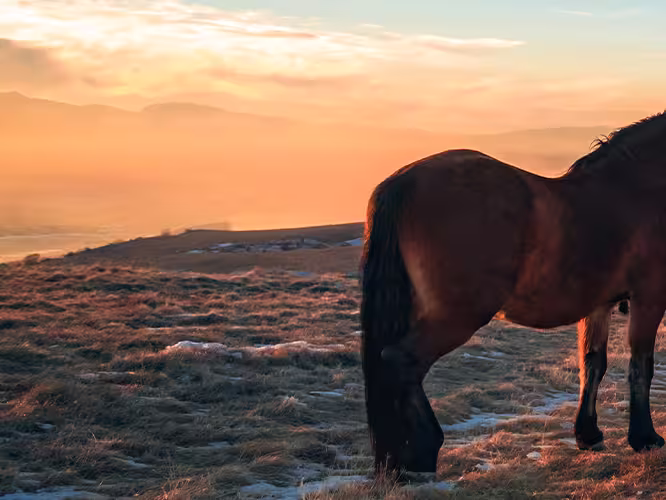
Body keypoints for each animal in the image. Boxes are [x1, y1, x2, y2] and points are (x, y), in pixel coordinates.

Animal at [361, 111, 666, 475]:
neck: (636, 188)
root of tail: (401, 182)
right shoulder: (649, 298)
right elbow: (641, 366)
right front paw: (645, 438)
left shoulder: (598, 305)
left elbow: (593, 364)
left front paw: (588, 434)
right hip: (458, 316)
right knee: (402, 362)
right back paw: (420, 453)